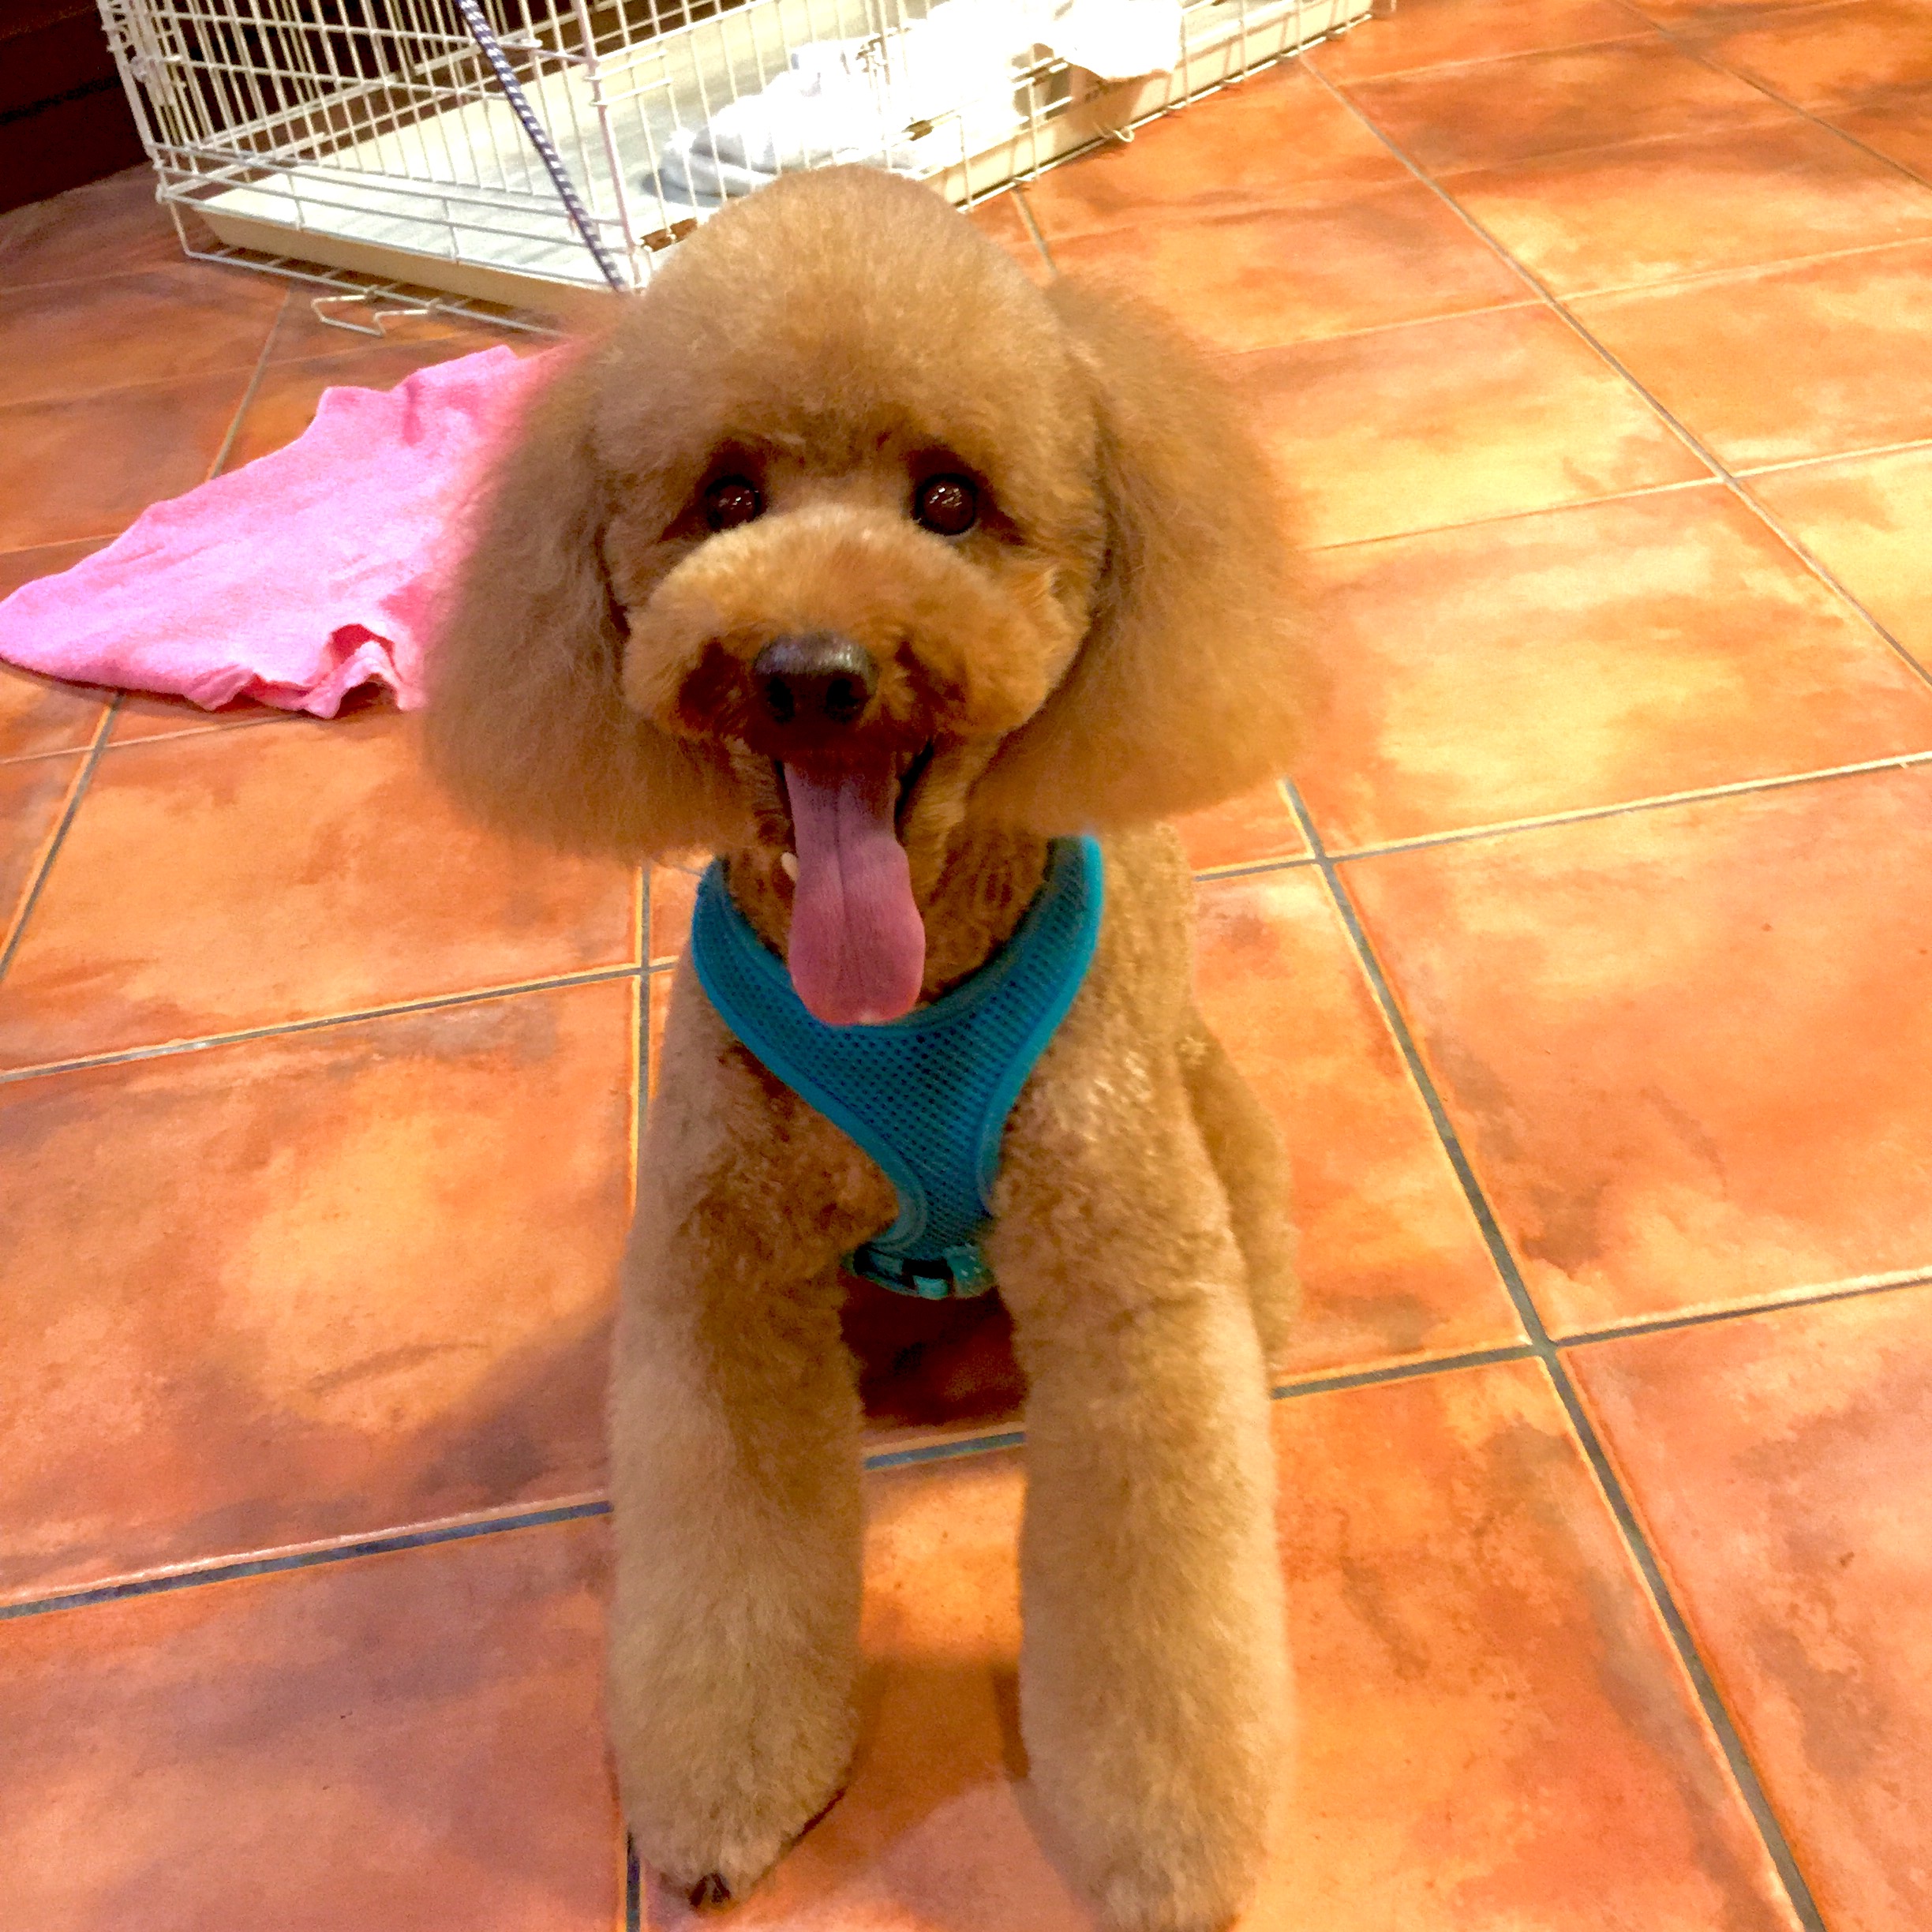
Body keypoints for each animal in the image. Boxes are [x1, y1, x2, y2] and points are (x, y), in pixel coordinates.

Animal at [428, 164, 1307, 1932]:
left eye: (950, 501)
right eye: (725, 498)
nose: (810, 671)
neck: (899, 1007)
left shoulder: (1131, 1294)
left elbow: (1164, 1601)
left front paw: (1167, 1849)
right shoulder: (715, 1277)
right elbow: (724, 1561)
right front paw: (722, 1789)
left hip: (1211, 1142)